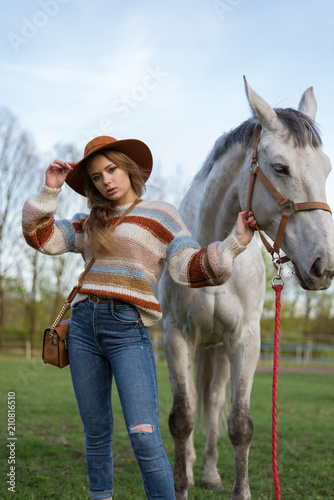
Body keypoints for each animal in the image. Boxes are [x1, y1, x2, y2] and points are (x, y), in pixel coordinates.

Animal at [159, 79, 334, 500]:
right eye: (280, 167)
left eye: (326, 169)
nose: (324, 265)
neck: (209, 251)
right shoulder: (175, 337)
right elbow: (182, 418)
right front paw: (181, 484)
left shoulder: (244, 339)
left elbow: (239, 424)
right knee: (196, 403)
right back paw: (193, 469)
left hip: (219, 349)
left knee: (214, 401)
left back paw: (209, 473)